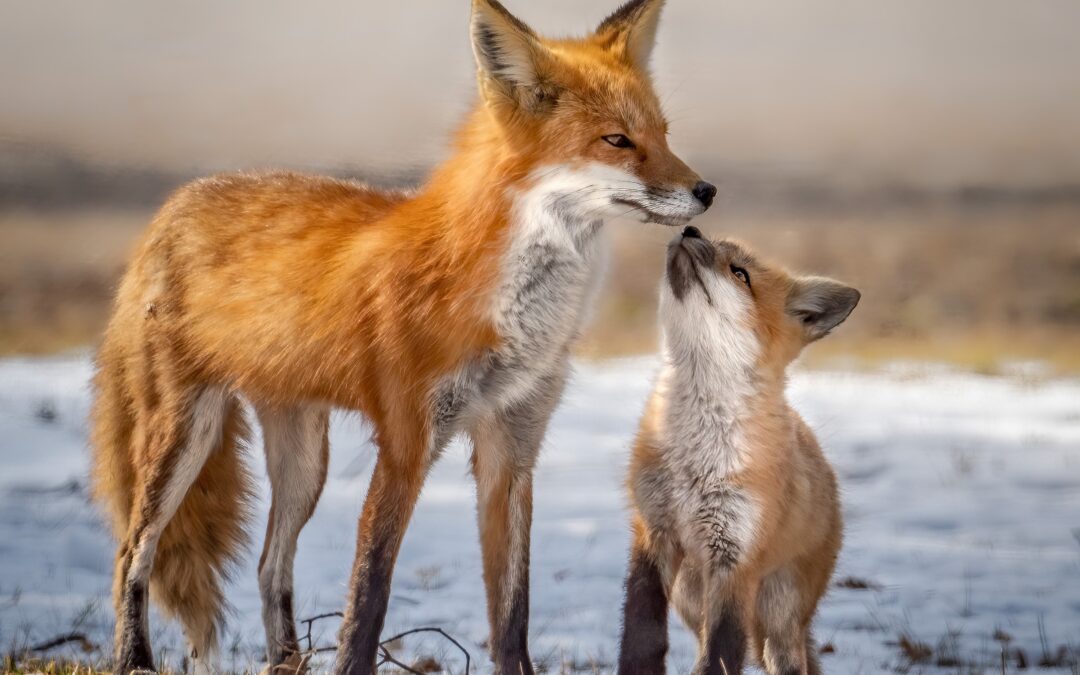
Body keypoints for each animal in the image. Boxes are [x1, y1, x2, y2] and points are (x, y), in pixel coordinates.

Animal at [88, 1, 712, 673]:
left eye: (664, 134)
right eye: (617, 141)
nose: (707, 191)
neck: (510, 310)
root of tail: (172, 204)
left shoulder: (513, 448)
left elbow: (512, 610)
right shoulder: (406, 443)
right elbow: (370, 595)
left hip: (304, 463)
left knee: (268, 565)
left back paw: (285, 662)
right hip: (183, 435)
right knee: (131, 552)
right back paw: (134, 658)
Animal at [622, 227, 855, 673]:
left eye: (740, 273)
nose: (691, 229)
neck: (695, 458)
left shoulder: (736, 560)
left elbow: (721, 655)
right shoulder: (653, 533)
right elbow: (641, 637)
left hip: (780, 617)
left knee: (783, 657)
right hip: (690, 596)